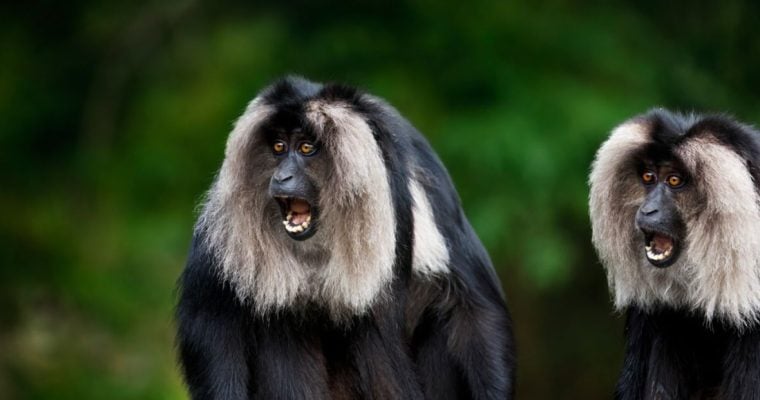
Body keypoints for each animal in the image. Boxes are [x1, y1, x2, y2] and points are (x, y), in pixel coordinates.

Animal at [176, 76, 515, 400]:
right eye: (278, 147)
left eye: (306, 148)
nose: (281, 177)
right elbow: (211, 318)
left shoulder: (418, 167)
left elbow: (471, 308)